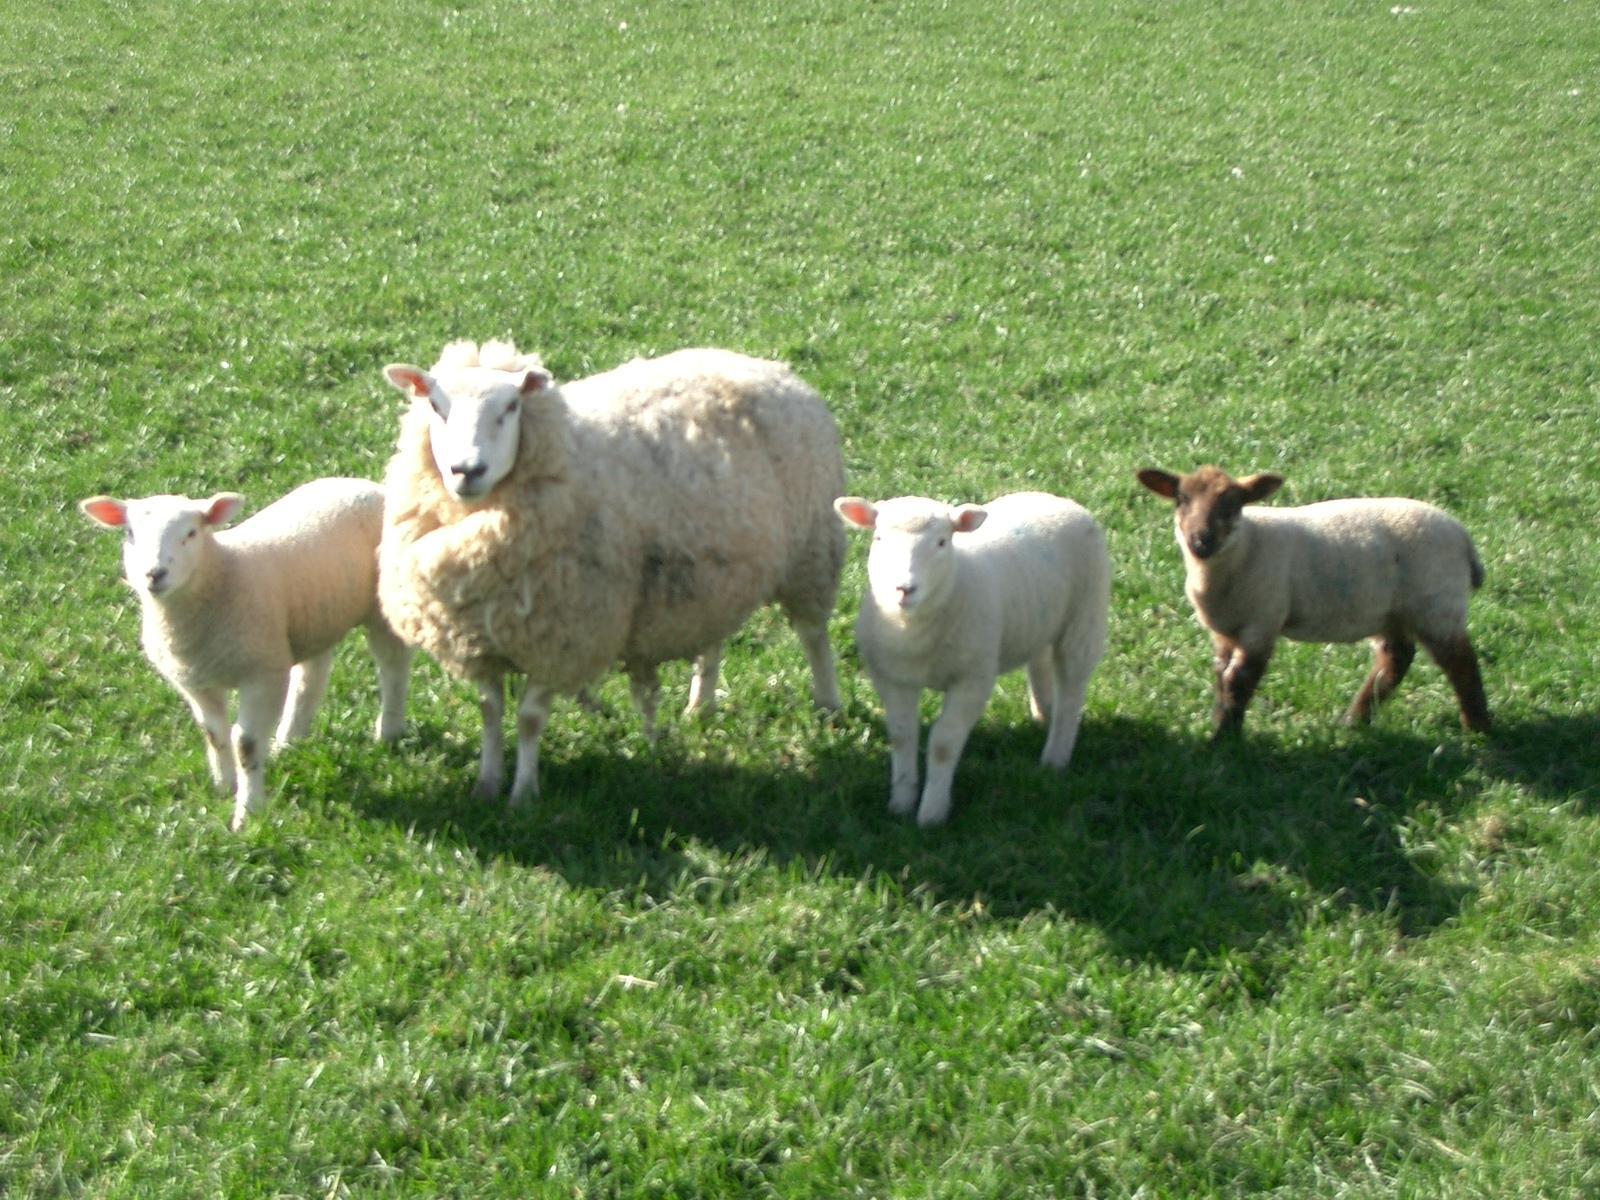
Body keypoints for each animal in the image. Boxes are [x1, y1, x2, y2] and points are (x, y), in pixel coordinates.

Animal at [80, 478, 414, 831]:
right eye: (130, 533)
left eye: (191, 533)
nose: (154, 574)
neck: (222, 574)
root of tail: (367, 485)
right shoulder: (196, 681)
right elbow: (214, 735)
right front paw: (224, 786)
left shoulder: (262, 675)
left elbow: (246, 744)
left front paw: (248, 813)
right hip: (314, 616)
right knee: (311, 677)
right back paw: (288, 741)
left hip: (383, 604)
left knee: (393, 666)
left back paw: (388, 732)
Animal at [377, 340, 845, 806]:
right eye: (435, 405)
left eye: (511, 406)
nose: (467, 470)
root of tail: (763, 364)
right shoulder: (480, 640)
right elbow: (490, 712)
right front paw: (487, 785)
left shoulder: (565, 637)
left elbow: (529, 719)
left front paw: (524, 794)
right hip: (714, 573)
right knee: (711, 642)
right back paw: (700, 706)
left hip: (812, 551)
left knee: (813, 635)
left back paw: (828, 704)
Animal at [834, 492, 1110, 827]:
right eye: (878, 537)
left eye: (941, 542)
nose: (904, 589)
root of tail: (1056, 499)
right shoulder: (893, 678)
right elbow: (902, 736)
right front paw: (900, 803)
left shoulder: (972, 680)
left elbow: (943, 744)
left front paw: (932, 813)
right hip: (1038, 617)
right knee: (1039, 661)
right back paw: (1043, 713)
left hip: (1085, 618)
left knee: (1071, 691)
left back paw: (1055, 757)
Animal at [1135, 464, 1490, 737]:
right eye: (1181, 500)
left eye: (1233, 503)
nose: (1201, 541)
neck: (1246, 544)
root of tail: (1463, 538)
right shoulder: (1224, 631)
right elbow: (1222, 677)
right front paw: (1221, 724)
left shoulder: (1262, 620)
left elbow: (1240, 680)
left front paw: (1225, 738)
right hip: (1391, 611)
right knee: (1396, 658)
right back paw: (1353, 720)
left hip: (1436, 604)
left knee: (1462, 663)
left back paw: (1477, 727)